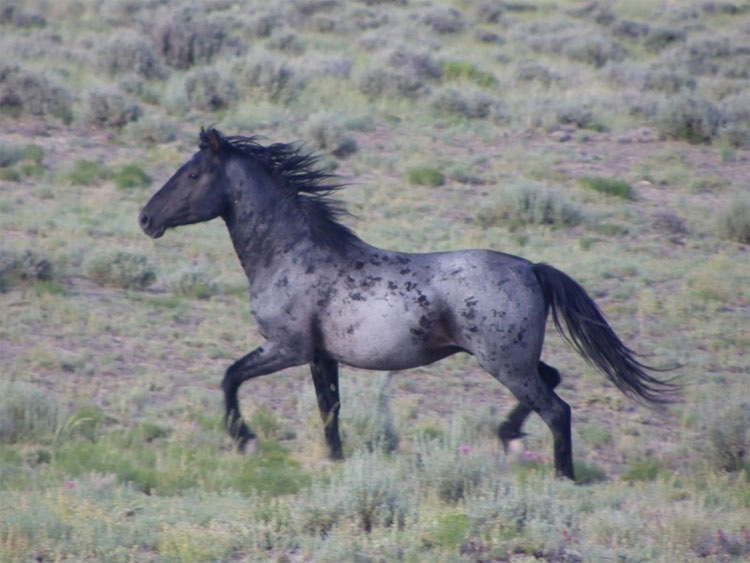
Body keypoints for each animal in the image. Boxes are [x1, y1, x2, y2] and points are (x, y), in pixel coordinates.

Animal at [138, 129, 680, 480]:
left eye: (192, 173)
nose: (145, 218)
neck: (291, 253)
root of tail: (531, 268)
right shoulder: (321, 357)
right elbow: (330, 409)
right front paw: (336, 461)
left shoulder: (287, 348)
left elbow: (231, 377)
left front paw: (244, 439)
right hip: (514, 361)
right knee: (552, 382)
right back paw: (507, 437)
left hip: (504, 363)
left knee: (557, 410)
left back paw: (560, 476)